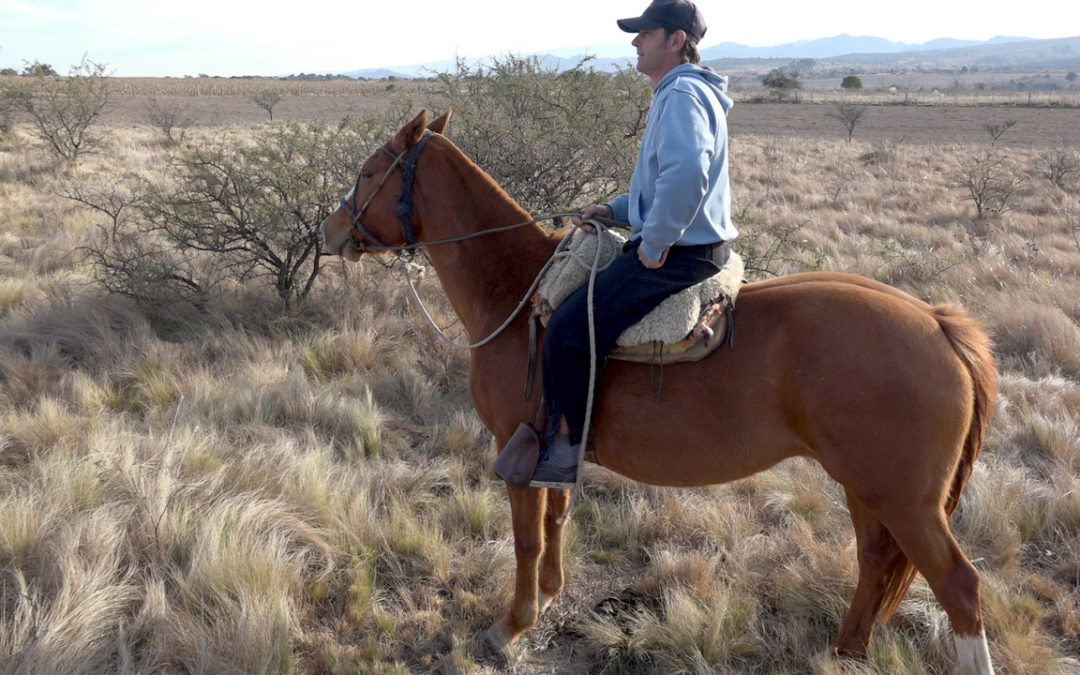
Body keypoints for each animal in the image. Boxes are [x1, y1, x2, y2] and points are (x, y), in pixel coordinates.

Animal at [321, 113, 1002, 669]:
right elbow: (557, 517)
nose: (330, 231)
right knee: (875, 560)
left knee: (959, 586)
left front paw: (512, 625)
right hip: (867, 487)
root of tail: (939, 322)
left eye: (369, 171)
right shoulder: (558, 446)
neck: (518, 294)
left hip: (907, 501)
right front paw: (550, 596)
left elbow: (526, 538)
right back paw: (845, 652)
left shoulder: (519, 447)